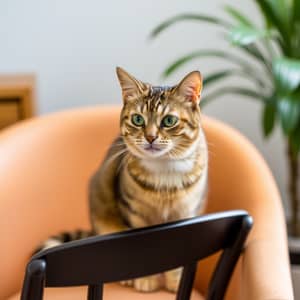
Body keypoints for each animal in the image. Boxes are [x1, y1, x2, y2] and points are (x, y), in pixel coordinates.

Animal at [36, 67, 207, 292]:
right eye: (137, 119)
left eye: (169, 121)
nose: (150, 137)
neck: (164, 175)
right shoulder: (134, 213)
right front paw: (146, 279)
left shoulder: (186, 215)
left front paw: (175, 282)